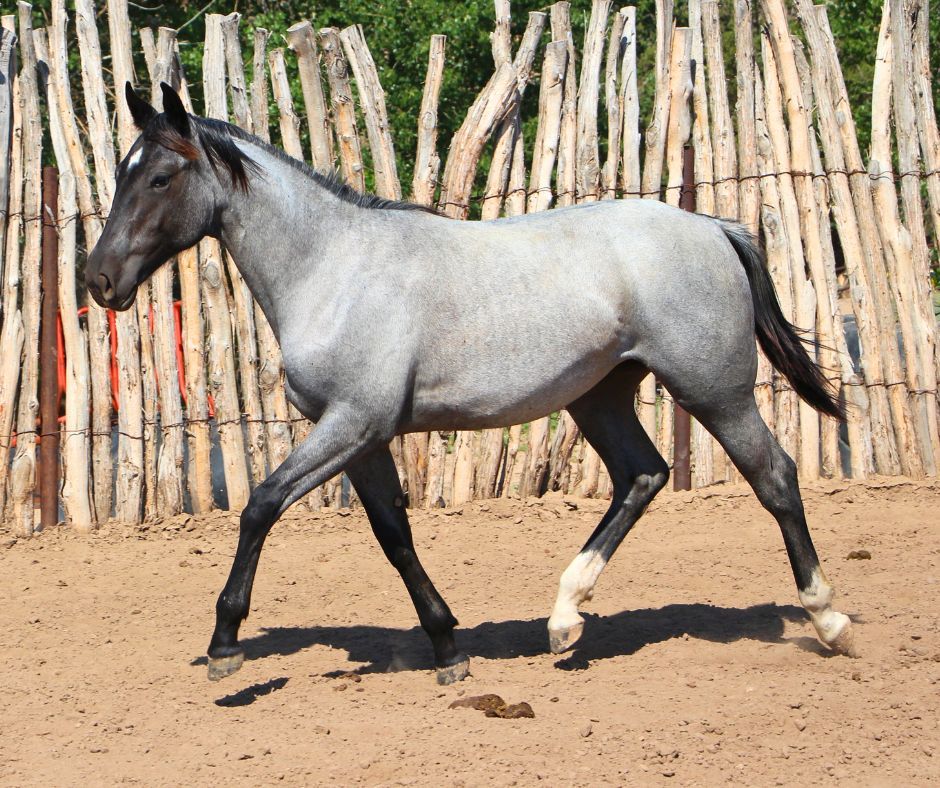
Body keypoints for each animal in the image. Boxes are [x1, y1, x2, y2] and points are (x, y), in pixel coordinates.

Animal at [87, 83, 856, 685]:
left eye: (159, 179)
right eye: (124, 174)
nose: (98, 280)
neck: (333, 268)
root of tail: (712, 226)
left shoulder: (352, 422)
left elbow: (261, 505)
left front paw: (224, 645)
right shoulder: (361, 437)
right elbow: (393, 534)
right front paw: (447, 646)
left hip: (714, 391)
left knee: (775, 477)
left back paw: (830, 621)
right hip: (600, 396)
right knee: (643, 475)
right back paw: (564, 622)